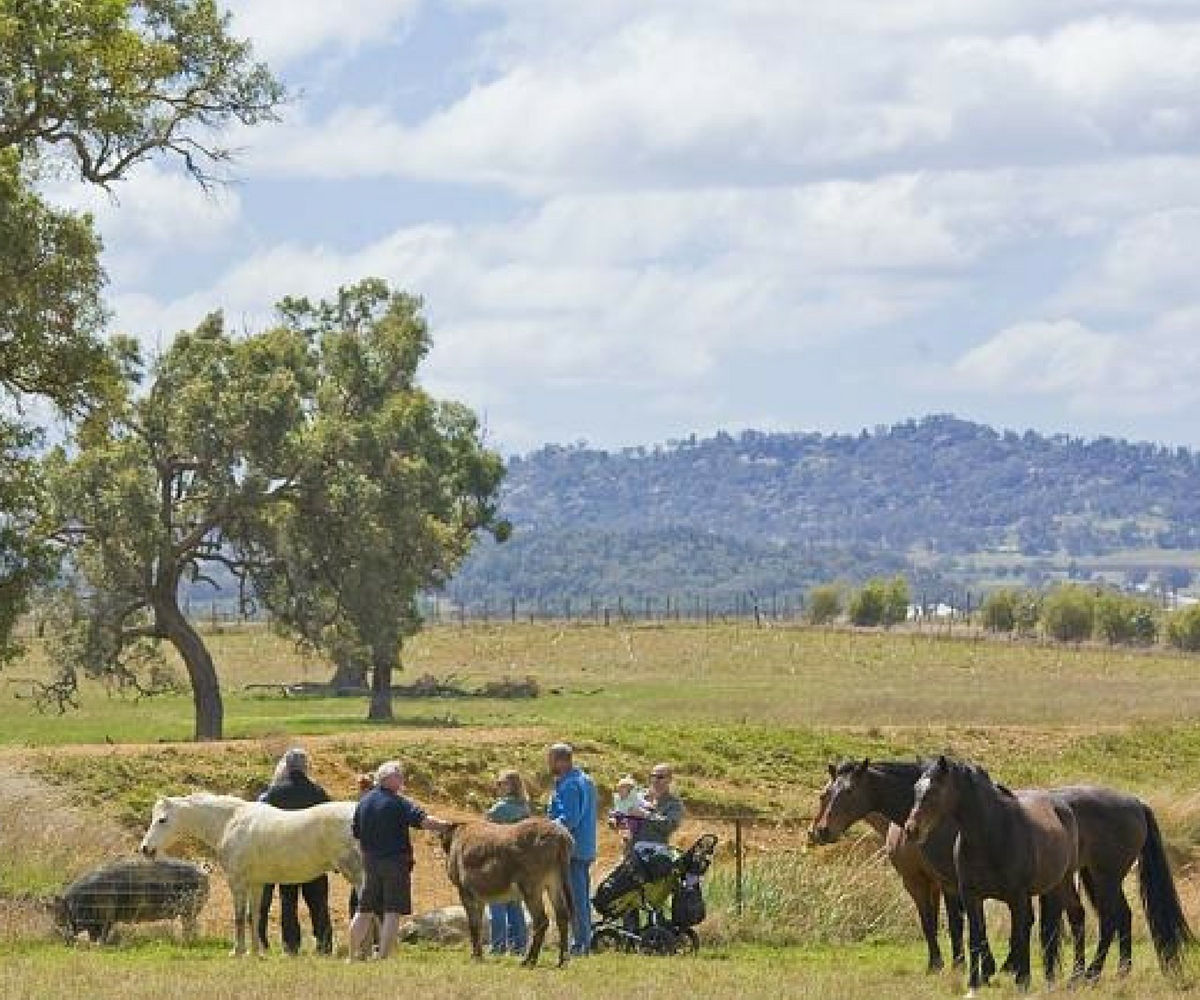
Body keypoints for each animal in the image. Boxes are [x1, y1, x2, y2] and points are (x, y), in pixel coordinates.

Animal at [139, 792, 360, 955]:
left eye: (162, 820)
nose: (145, 849)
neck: (230, 822)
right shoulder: (256, 884)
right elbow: (253, 916)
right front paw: (255, 952)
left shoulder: (237, 882)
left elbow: (239, 917)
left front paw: (238, 951)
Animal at [902, 758, 1084, 989]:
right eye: (916, 789)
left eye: (933, 790)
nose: (911, 829)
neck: (992, 834)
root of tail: (1063, 807)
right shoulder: (971, 896)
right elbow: (976, 936)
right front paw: (974, 981)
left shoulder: (1017, 896)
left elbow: (1019, 934)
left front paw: (1022, 980)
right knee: (1052, 928)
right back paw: (1055, 977)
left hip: (1063, 881)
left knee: (1071, 918)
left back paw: (1077, 977)